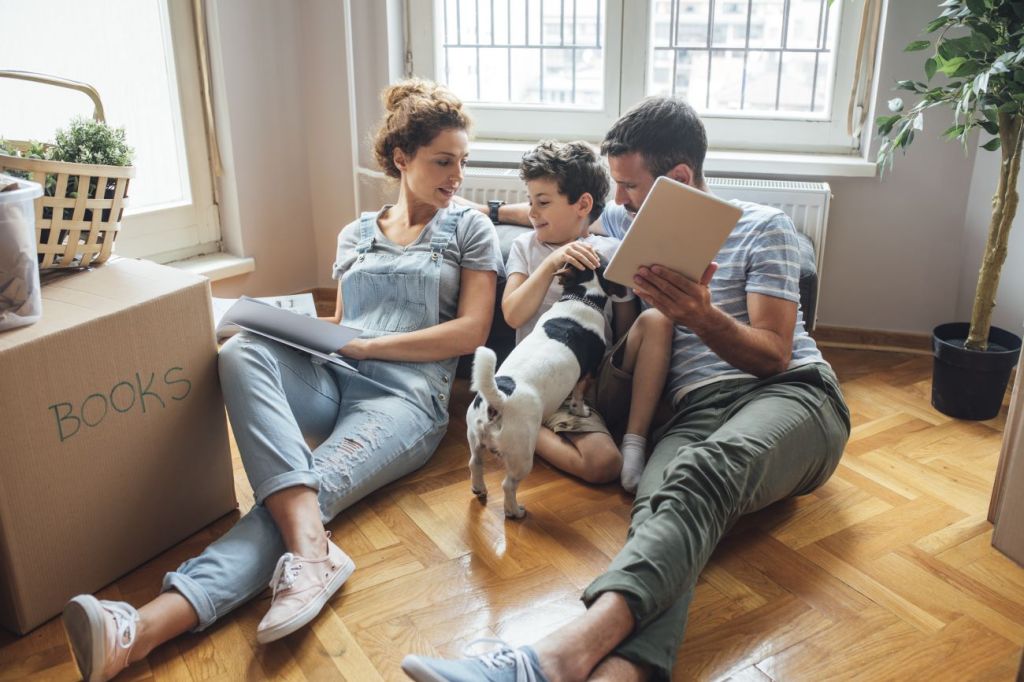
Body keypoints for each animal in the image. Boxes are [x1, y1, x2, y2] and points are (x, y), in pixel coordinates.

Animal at [464, 259, 622, 516]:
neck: (582, 296)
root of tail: (498, 401)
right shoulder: (588, 373)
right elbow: (579, 395)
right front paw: (580, 411)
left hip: (475, 437)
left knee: (475, 463)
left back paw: (479, 489)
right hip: (522, 456)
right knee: (508, 485)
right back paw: (515, 511)